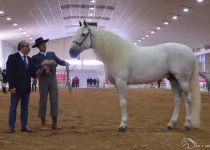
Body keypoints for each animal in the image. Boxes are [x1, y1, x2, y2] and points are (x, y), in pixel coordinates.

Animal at [69, 20, 202, 131]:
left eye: (83, 34)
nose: (71, 52)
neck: (116, 53)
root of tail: (190, 51)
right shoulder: (117, 84)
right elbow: (122, 101)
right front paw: (125, 124)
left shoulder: (121, 82)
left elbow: (123, 102)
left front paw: (122, 126)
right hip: (173, 79)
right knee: (178, 100)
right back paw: (170, 124)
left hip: (183, 80)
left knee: (189, 99)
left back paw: (186, 125)